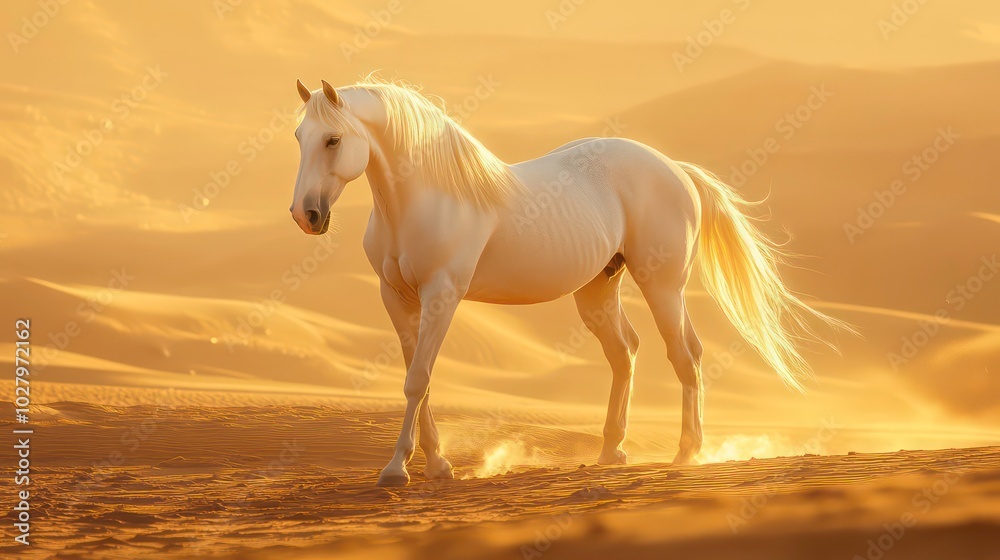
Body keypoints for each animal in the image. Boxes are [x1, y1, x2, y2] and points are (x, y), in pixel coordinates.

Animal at [289, 77, 850, 487]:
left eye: (333, 139)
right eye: (299, 137)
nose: (306, 215)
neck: (425, 197)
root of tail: (676, 169)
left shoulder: (441, 296)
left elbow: (417, 380)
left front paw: (396, 470)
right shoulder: (397, 299)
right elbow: (418, 382)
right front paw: (435, 465)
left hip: (663, 287)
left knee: (684, 355)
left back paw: (687, 452)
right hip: (598, 288)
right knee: (626, 352)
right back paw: (611, 450)